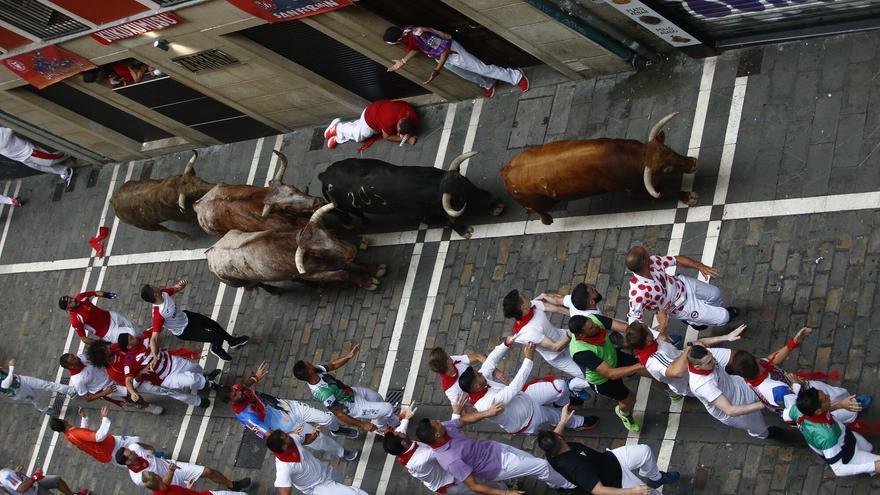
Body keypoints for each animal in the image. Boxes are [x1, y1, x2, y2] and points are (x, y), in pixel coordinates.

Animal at [208, 203, 386, 292]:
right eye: (316, 251)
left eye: (327, 233)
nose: (350, 250)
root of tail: (211, 252)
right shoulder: (315, 274)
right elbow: (343, 274)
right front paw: (366, 282)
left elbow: (354, 262)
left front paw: (375, 268)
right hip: (244, 283)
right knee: (258, 284)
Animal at [320, 151, 506, 238]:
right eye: (460, 197)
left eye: (467, 181)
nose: (494, 200)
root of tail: (324, 174)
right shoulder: (425, 217)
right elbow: (446, 221)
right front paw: (464, 230)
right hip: (344, 206)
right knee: (352, 213)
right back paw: (362, 223)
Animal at [502, 113, 696, 224]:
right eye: (666, 169)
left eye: (669, 149)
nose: (694, 163)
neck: (631, 156)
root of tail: (506, 170)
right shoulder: (632, 189)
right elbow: (666, 190)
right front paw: (688, 197)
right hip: (542, 202)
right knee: (535, 209)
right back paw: (546, 219)